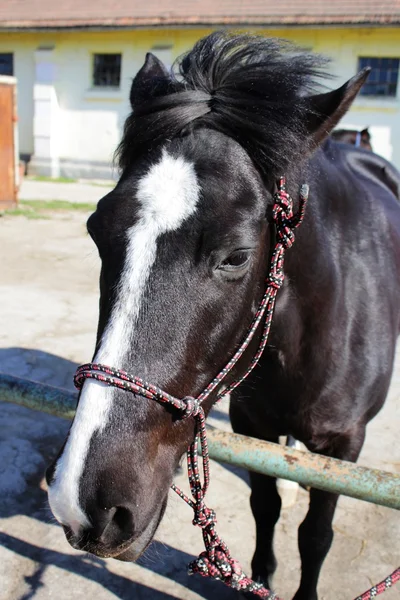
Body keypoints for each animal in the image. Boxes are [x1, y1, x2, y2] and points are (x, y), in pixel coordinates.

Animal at [44, 34, 400, 600]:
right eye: (96, 229)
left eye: (236, 256)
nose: (83, 503)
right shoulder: (254, 425)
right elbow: (265, 507)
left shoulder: (345, 446)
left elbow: (315, 536)